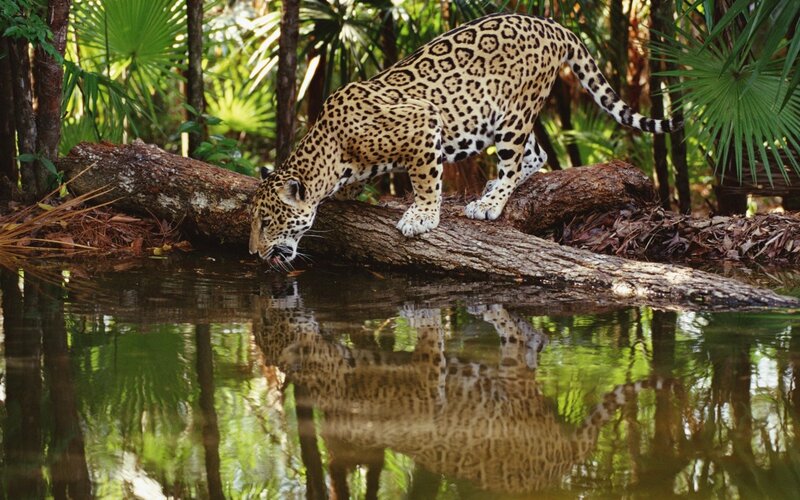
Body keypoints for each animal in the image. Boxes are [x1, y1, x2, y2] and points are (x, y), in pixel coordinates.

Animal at [249, 12, 683, 265]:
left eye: (268, 221)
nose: (254, 252)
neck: (331, 150)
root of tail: (551, 24)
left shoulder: (423, 122)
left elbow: (425, 180)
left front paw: (422, 215)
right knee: (538, 153)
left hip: (513, 113)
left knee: (515, 158)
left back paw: (489, 202)